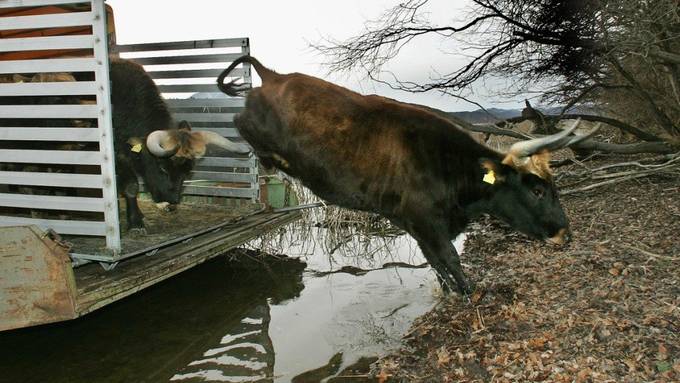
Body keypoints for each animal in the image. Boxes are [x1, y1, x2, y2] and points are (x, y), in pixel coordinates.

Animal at [110, 59, 251, 232]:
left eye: (188, 171)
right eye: (162, 168)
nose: (172, 202)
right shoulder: (118, 157)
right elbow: (131, 186)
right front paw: (136, 223)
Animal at [218, 55, 596, 296]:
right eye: (537, 191)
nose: (565, 234)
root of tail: (275, 76)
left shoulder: (412, 221)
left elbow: (437, 261)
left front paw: (451, 291)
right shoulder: (425, 219)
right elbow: (449, 257)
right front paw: (470, 293)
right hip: (254, 125)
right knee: (237, 122)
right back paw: (263, 157)